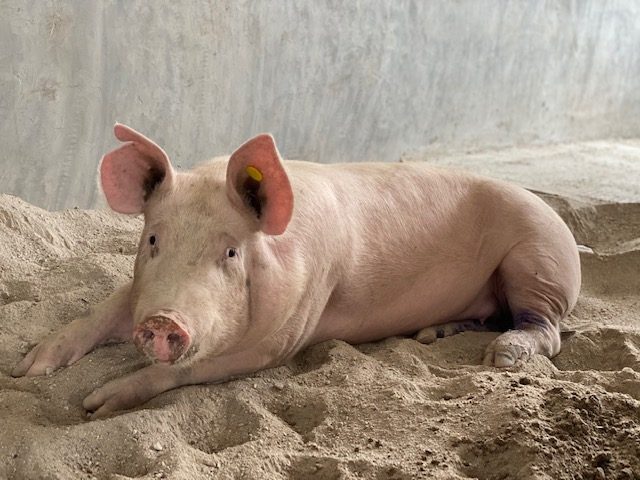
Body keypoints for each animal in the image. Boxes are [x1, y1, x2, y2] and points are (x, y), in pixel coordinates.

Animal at [12, 124, 581, 418]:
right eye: (153, 240)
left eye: (231, 253)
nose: (162, 321)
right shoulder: (136, 289)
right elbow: (100, 312)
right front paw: (25, 368)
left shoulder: (279, 340)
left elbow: (182, 370)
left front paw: (96, 405)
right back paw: (429, 336)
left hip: (540, 259)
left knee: (546, 330)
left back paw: (500, 357)